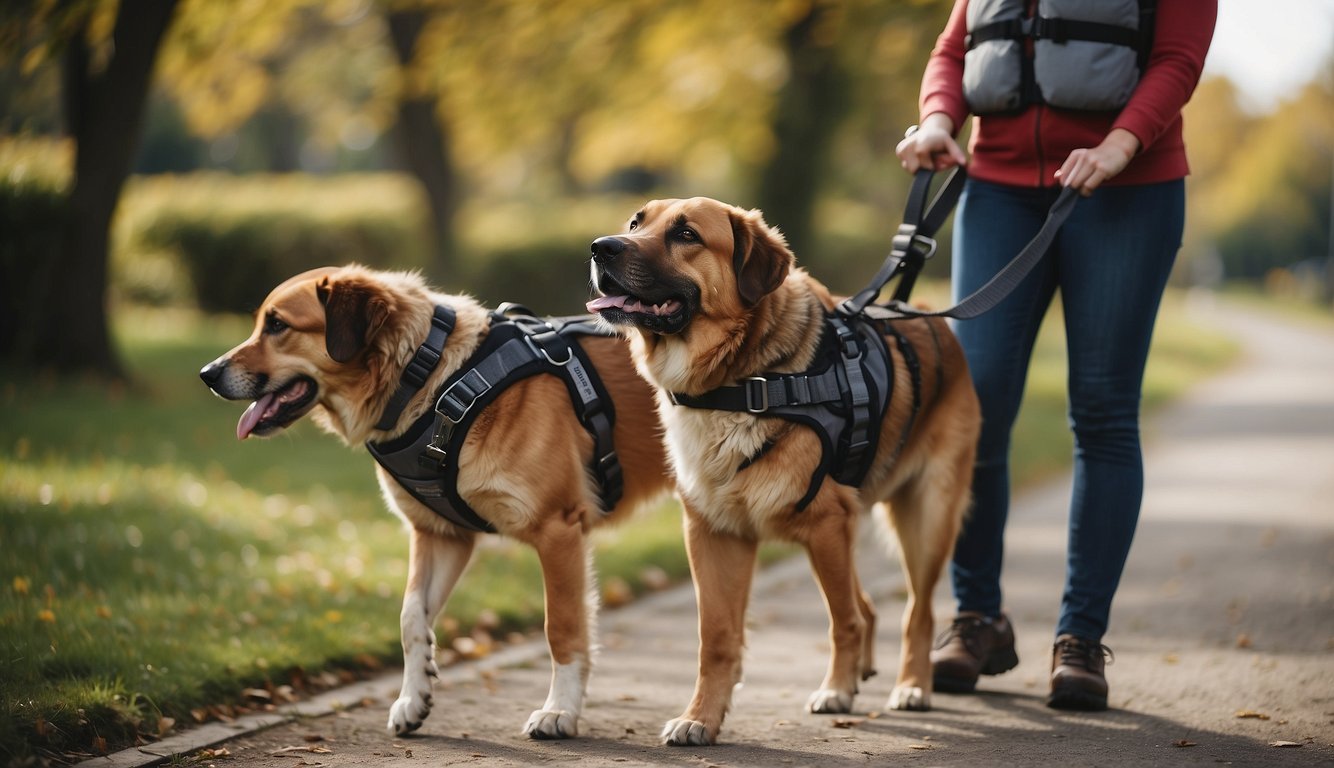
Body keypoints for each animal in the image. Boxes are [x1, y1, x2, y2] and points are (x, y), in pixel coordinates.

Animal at [198, 264, 672, 736]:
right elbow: (411, 617)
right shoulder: (440, 534)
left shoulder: (558, 531)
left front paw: (560, 711)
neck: (432, 378)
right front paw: (414, 696)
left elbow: (562, 627)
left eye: (277, 325)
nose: (207, 373)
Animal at [589, 197, 987, 746]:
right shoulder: (715, 533)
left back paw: (911, 685)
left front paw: (836, 689)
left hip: (924, 520)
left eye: (686, 234)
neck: (738, 380)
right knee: (870, 607)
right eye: (635, 222)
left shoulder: (825, 525)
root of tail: (928, 316)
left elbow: (842, 620)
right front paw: (700, 718)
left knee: (915, 612)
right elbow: (717, 638)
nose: (600, 247)